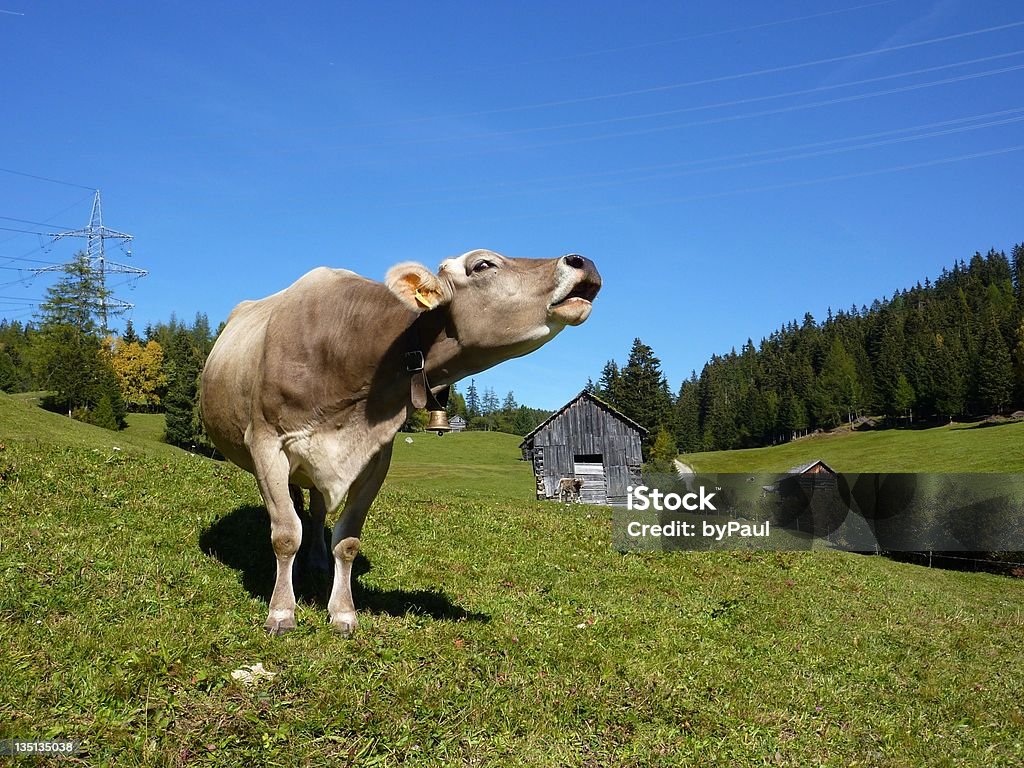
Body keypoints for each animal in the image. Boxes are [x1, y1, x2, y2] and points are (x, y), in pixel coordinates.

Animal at [199, 250, 598, 638]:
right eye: (482, 264)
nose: (583, 261)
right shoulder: (266, 442)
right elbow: (284, 534)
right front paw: (281, 612)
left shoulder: (376, 457)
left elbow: (347, 541)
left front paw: (343, 612)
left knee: (316, 510)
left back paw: (317, 559)